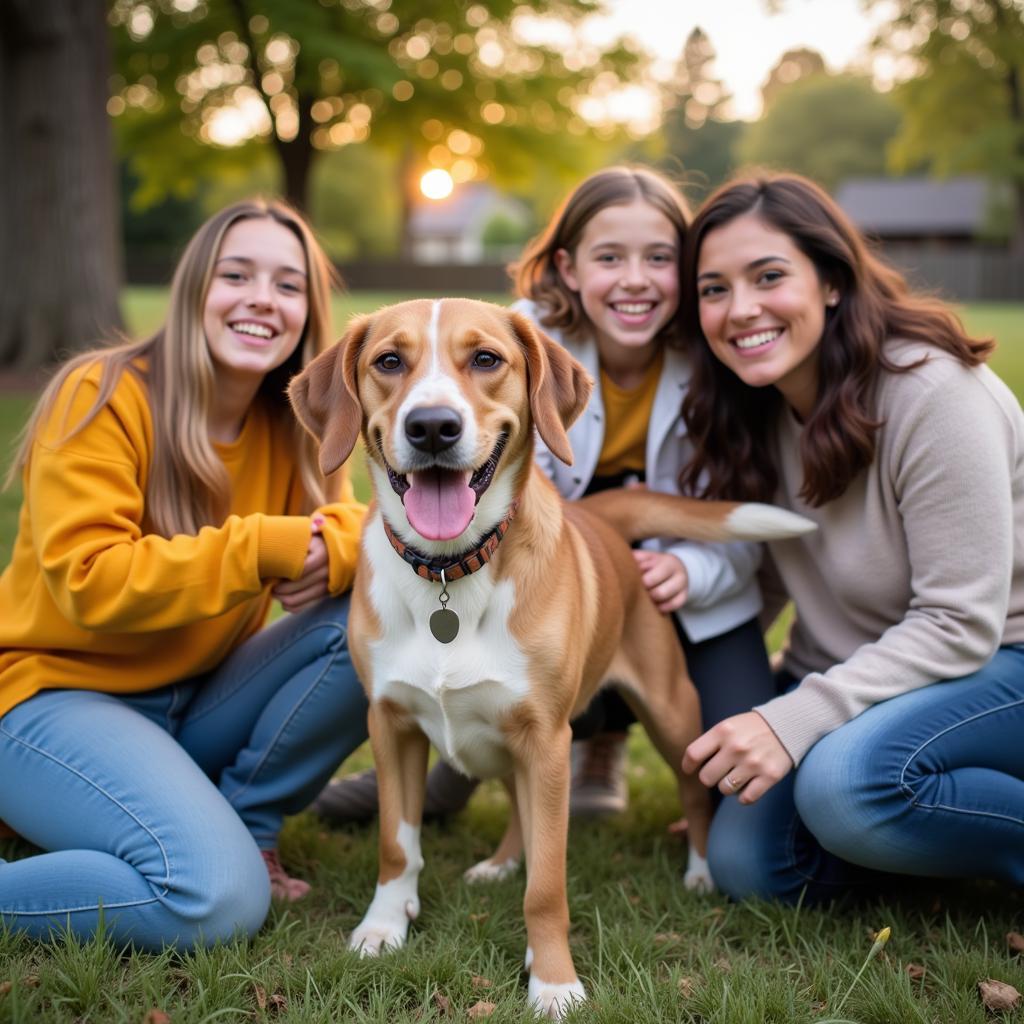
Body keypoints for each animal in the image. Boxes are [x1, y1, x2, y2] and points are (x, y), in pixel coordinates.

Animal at [290, 296, 815, 1015]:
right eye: (389, 362)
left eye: (486, 359)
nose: (432, 427)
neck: (449, 571)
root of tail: (604, 519)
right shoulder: (391, 725)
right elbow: (398, 846)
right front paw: (383, 927)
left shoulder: (547, 739)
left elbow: (547, 886)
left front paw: (554, 980)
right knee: (517, 809)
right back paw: (501, 862)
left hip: (671, 715)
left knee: (692, 790)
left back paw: (701, 872)